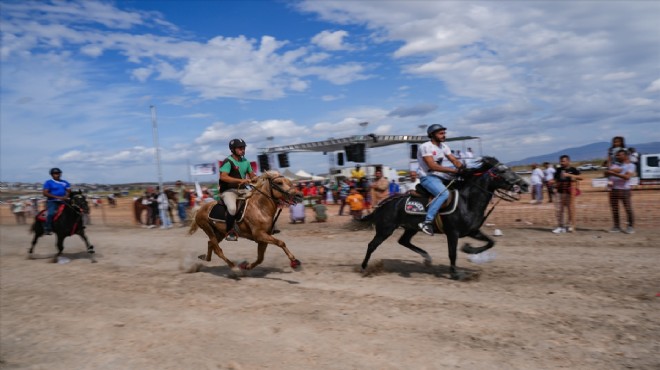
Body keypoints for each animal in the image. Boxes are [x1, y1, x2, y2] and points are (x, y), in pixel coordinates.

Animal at [358, 156, 528, 280]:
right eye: (502, 171)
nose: (525, 185)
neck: (467, 201)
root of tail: (383, 205)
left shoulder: (472, 231)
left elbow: (491, 242)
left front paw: (469, 249)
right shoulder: (452, 233)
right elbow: (452, 253)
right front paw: (455, 273)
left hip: (410, 228)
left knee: (403, 241)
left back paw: (427, 258)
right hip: (385, 229)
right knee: (372, 245)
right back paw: (364, 267)